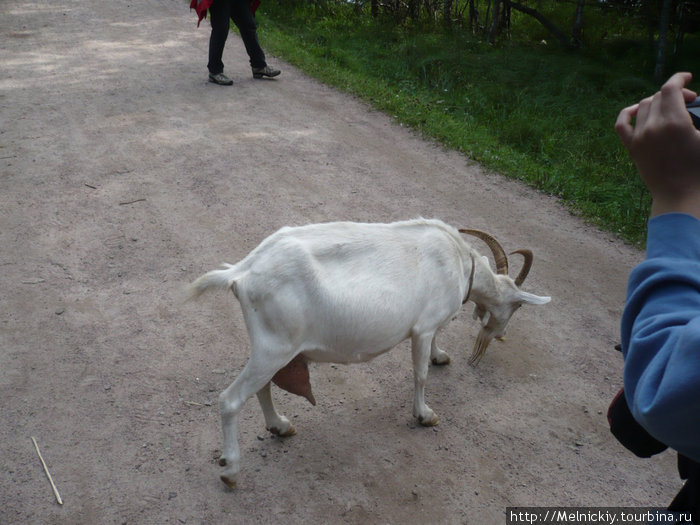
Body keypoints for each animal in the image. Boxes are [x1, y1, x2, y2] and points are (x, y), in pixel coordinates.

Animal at [189, 218, 548, 488]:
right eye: (517, 305)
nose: (499, 335)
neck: (460, 261)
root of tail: (241, 272)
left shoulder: (430, 325)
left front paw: (441, 355)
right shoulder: (422, 327)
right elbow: (420, 374)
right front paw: (425, 415)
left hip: (270, 347)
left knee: (262, 386)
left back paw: (280, 426)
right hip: (274, 347)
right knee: (231, 399)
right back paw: (231, 470)